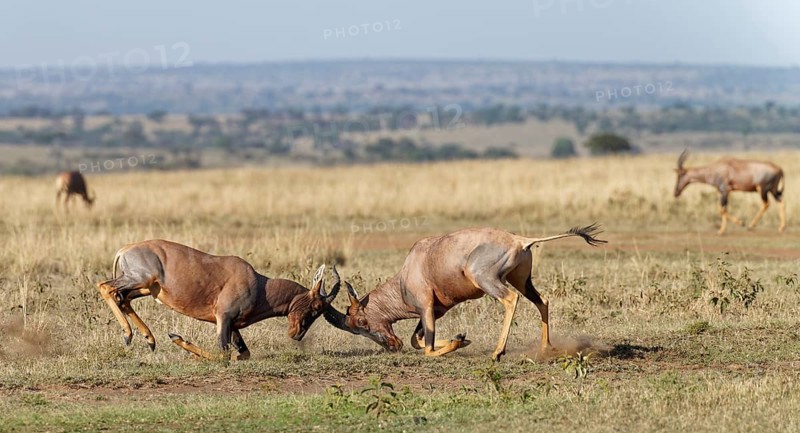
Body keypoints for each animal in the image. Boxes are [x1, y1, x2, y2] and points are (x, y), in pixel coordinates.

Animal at [96, 240, 340, 360]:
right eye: (316, 306)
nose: (297, 334)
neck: (258, 283)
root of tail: (125, 249)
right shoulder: (224, 318)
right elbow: (224, 355)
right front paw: (178, 340)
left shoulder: (233, 325)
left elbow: (244, 354)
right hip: (139, 279)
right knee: (105, 287)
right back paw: (128, 335)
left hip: (146, 288)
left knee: (122, 298)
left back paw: (149, 339)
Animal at [324, 225, 605, 361]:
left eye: (361, 321)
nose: (392, 346)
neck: (411, 266)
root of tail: (519, 240)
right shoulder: (437, 310)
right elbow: (418, 340)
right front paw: (461, 338)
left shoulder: (426, 308)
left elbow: (426, 348)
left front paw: (459, 342)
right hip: (522, 280)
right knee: (542, 301)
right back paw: (546, 348)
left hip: (487, 279)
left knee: (510, 300)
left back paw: (497, 353)